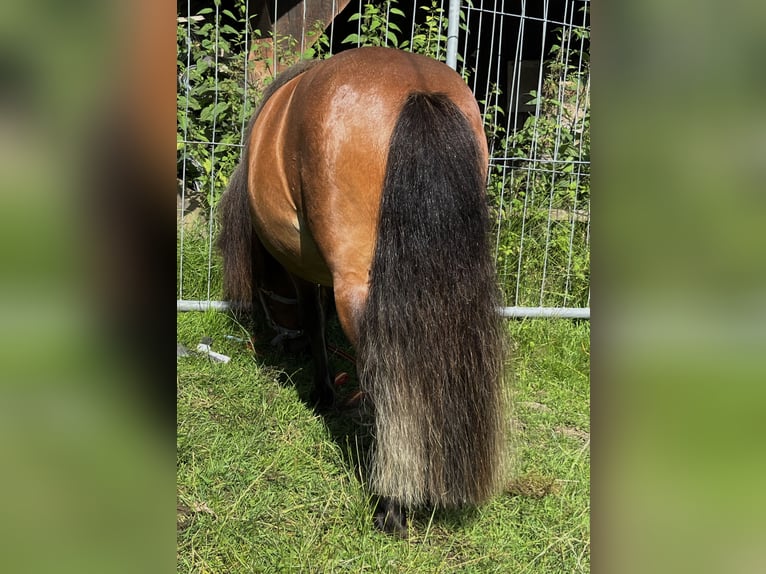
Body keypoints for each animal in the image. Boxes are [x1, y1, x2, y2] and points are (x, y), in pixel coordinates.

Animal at [216, 47, 508, 536]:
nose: (283, 338)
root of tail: (419, 89)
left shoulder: (302, 268)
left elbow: (315, 320)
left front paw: (322, 395)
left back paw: (392, 503)